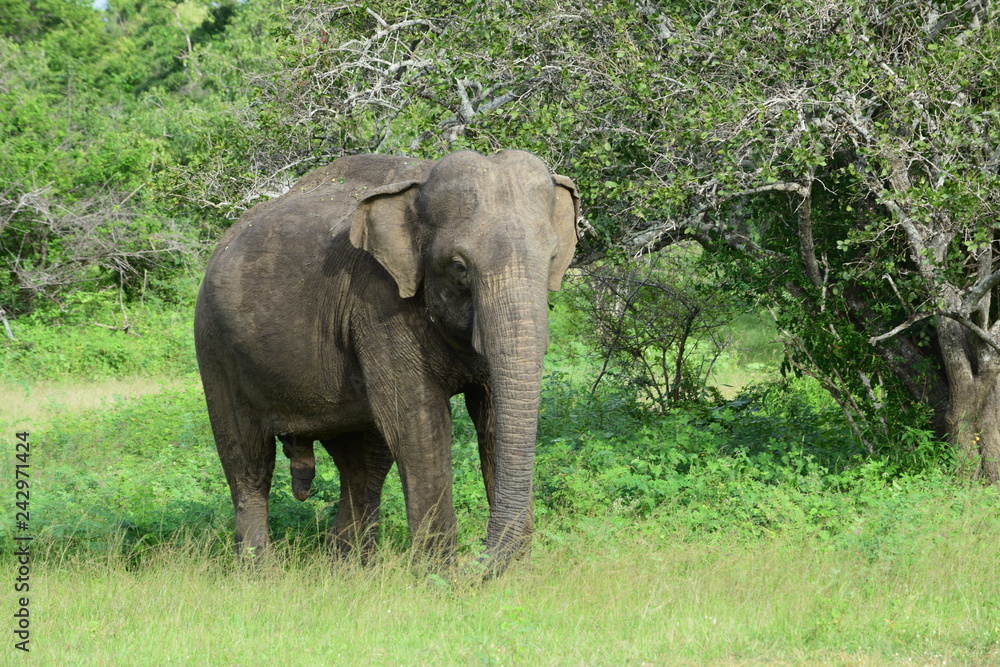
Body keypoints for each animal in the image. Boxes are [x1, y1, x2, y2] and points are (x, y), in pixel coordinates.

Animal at [192, 150, 580, 576]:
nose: (475, 566)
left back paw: (349, 570)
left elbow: (492, 415)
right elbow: (419, 423)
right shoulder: (379, 304)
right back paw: (259, 574)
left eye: (552, 259)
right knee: (248, 463)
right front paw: (439, 579)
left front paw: (514, 576)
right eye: (459, 267)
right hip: (214, 347)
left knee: (364, 463)